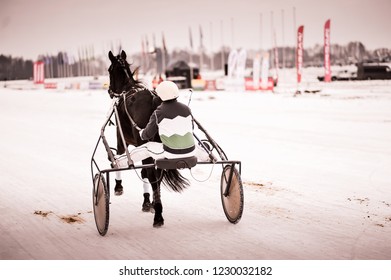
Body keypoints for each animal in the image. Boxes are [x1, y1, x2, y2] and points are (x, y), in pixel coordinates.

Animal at [107, 49, 190, 226]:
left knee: (152, 175)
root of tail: (153, 99)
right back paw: (156, 205)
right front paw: (148, 202)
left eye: (109, 70)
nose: (110, 91)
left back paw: (158, 214)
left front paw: (118, 187)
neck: (127, 90)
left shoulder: (121, 139)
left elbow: (118, 158)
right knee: (156, 175)